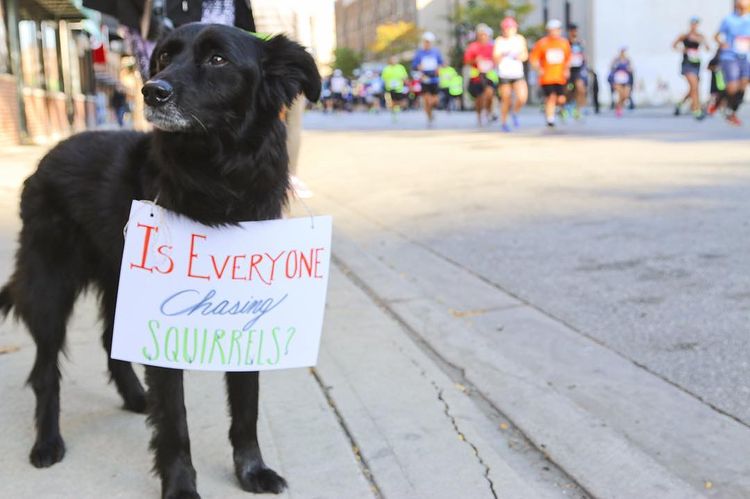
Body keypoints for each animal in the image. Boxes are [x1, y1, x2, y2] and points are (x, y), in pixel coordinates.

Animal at [0, 24, 320, 499]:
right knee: (45, 372)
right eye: (164, 57)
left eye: (218, 59)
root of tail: (47, 158)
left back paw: (136, 399)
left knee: (111, 343)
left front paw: (252, 471)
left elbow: (247, 405)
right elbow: (174, 420)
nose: (152, 91)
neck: (217, 180)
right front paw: (181, 487)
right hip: (49, 288)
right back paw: (47, 442)